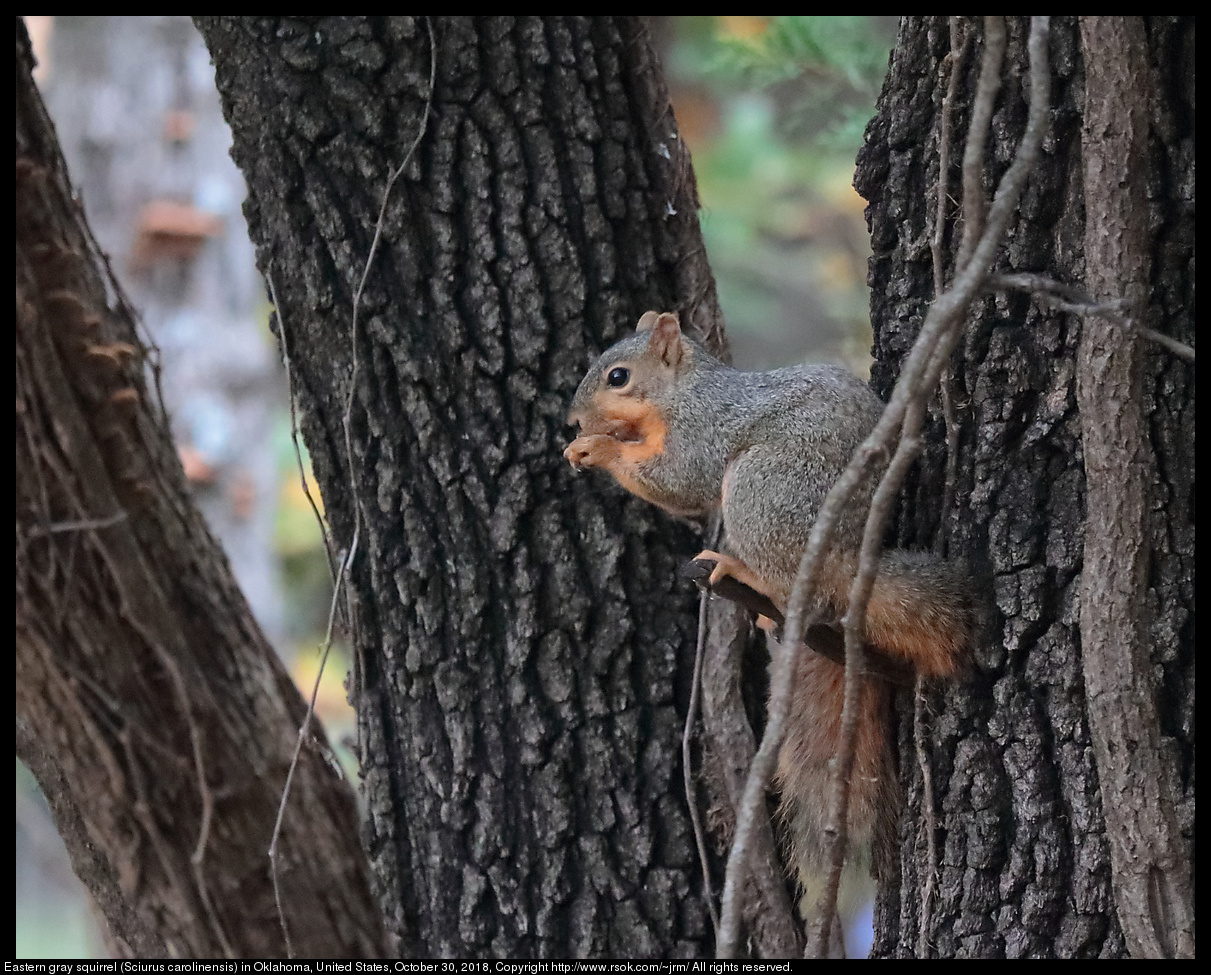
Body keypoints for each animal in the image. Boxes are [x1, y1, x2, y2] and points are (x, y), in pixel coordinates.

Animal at [561, 314, 968, 920]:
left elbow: (680, 482)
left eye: (618, 376)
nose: (574, 420)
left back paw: (745, 575)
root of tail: (847, 554)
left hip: (762, 490)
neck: (681, 392)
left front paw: (597, 448)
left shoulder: (703, 431)